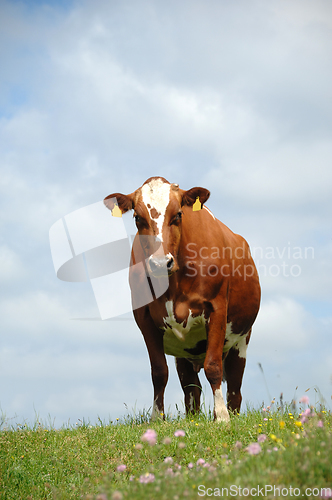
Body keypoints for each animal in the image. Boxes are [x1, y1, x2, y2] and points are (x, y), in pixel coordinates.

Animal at [105, 177, 260, 422]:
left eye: (178, 214)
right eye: (137, 217)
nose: (160, 263)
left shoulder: (217, 308)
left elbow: (213, 366)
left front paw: (221, 417)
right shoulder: (144, 317)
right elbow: (159, 372)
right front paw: (157, 418)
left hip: (241, 340)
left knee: (235, 388)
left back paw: (230, 414)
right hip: (185, 353)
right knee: (192, 389)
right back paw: (193, 419)